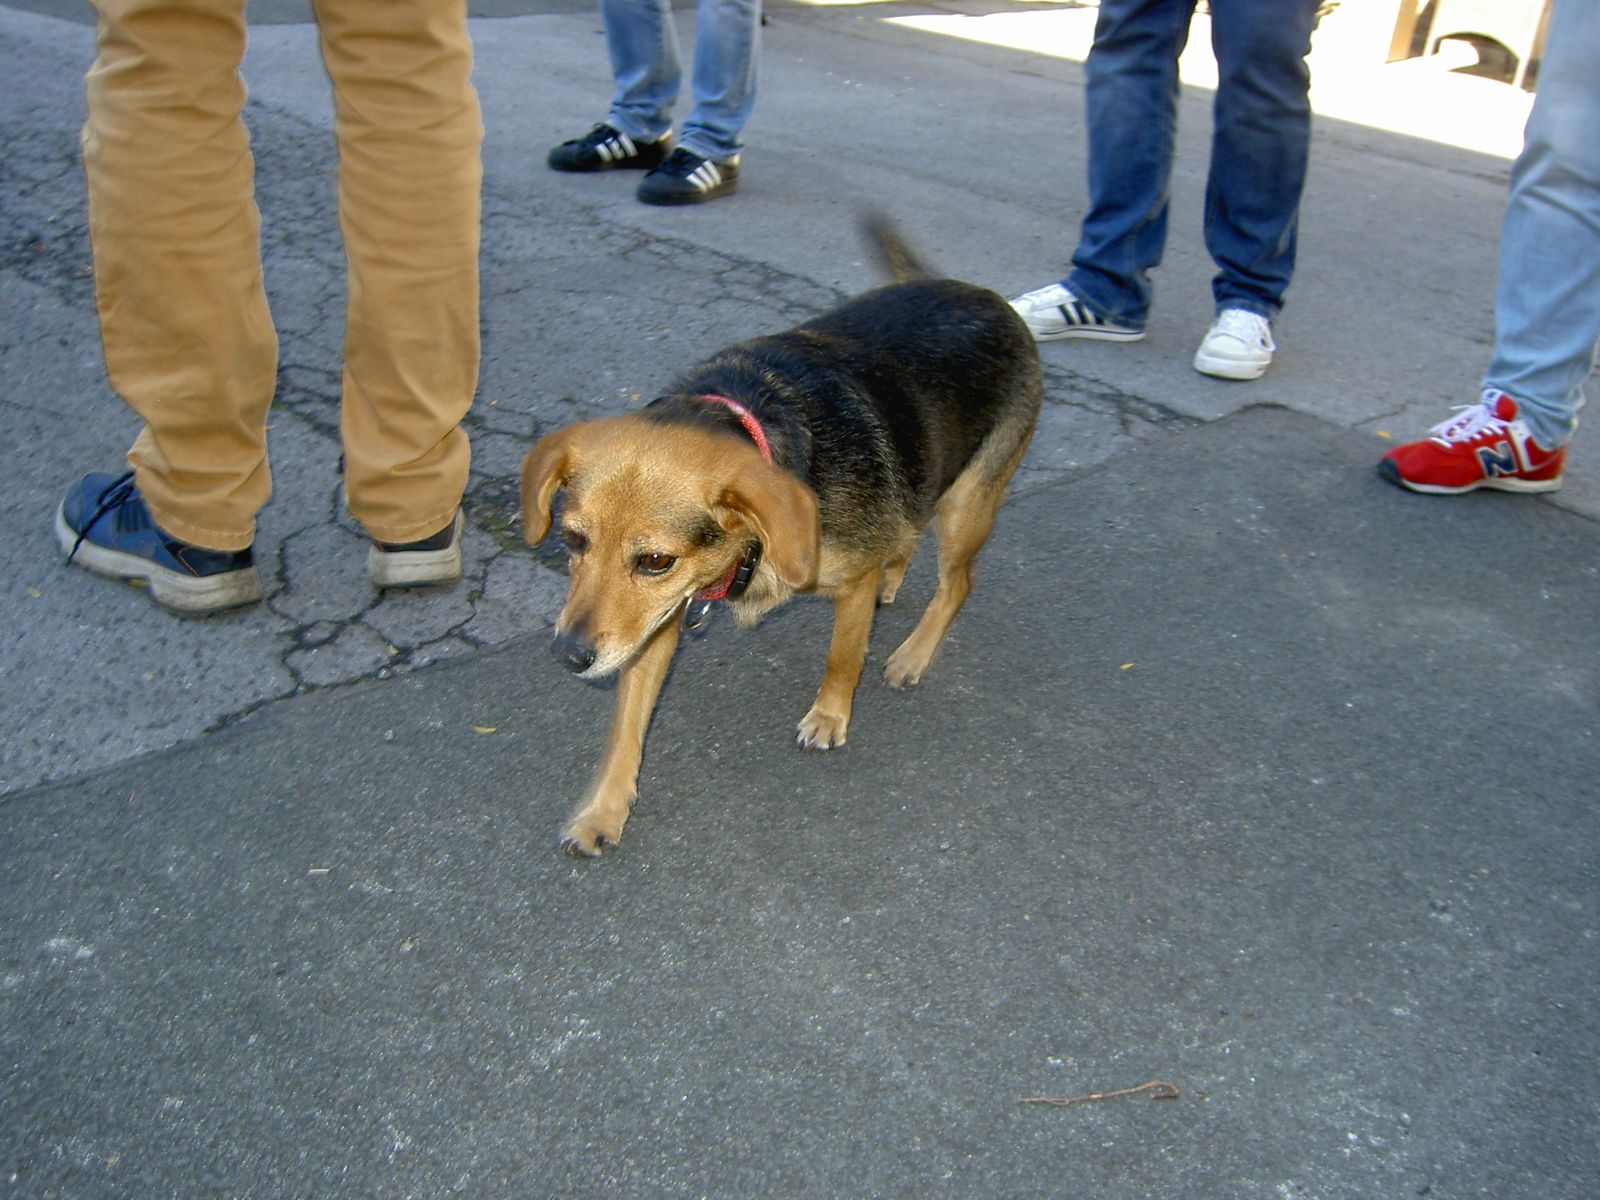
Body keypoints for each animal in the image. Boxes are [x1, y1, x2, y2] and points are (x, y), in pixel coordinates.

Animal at [520, 218, 1042, 855]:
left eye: (655, 560)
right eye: (572, 541)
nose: (568, 656)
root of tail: (983, 294)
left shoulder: (846, 582)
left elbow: (843, 658)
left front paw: (829, 717)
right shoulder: (655, 624)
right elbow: (625, 727)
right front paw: (603, 810)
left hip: (969, 503)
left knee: (959, 582)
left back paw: (912, 655)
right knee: (907, 531)